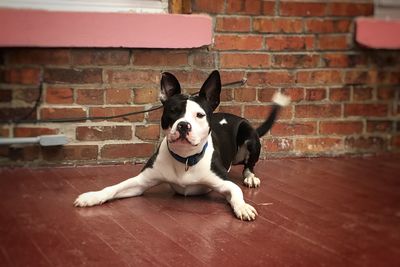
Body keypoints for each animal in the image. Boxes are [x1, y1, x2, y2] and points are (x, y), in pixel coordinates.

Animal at [73, 70, 290, 221]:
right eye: (172, 111)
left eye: (199, 115)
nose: (183, 125)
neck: (185, 158)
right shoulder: (141, 182)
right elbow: (113, 187)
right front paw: (92, 197)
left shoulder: (224, 182)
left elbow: (236, 193)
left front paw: (243, 207)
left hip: (249, 135)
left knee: (249, 165)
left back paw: (250, 177)